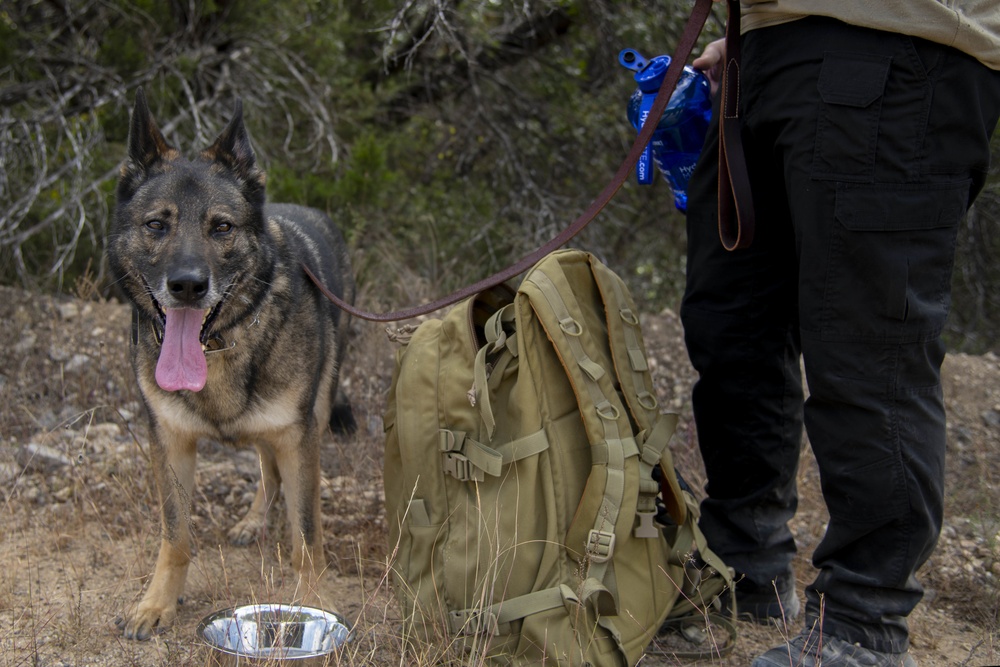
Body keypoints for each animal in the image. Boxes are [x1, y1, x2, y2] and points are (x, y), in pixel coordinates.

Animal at [105, 86, 354, 640]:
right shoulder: (170, 443)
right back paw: (252, 520)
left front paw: (313, 605)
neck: (217, 349)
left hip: (314, 411)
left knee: (280, 476)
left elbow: (308, 535)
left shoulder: (298, 435)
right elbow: (175, 535)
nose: (187, 286)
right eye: (157, 224)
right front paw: (158, 603)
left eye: (221, 227)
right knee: (266, 470)